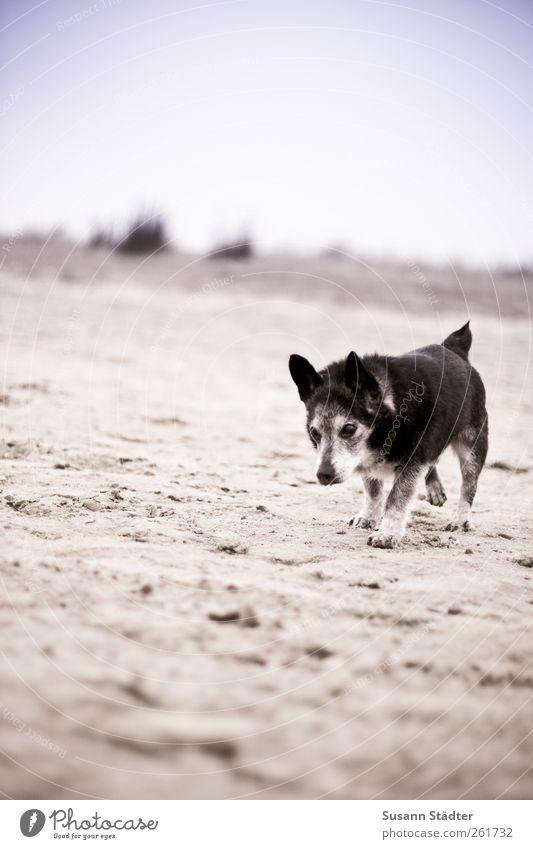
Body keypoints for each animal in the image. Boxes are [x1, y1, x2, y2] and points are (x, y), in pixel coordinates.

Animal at [288, 320, 488, 548]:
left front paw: (387, 533)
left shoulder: (413, 460)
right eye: (314, 432)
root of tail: (454, 348)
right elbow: (373, 490)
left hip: (473, 444)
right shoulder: (365, 458)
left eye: (349, 429)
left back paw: (460, 519)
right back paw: (435, 488)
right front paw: (369, 516)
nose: (323, 475)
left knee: (469, 484)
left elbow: (397, 497)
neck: (393, 413)